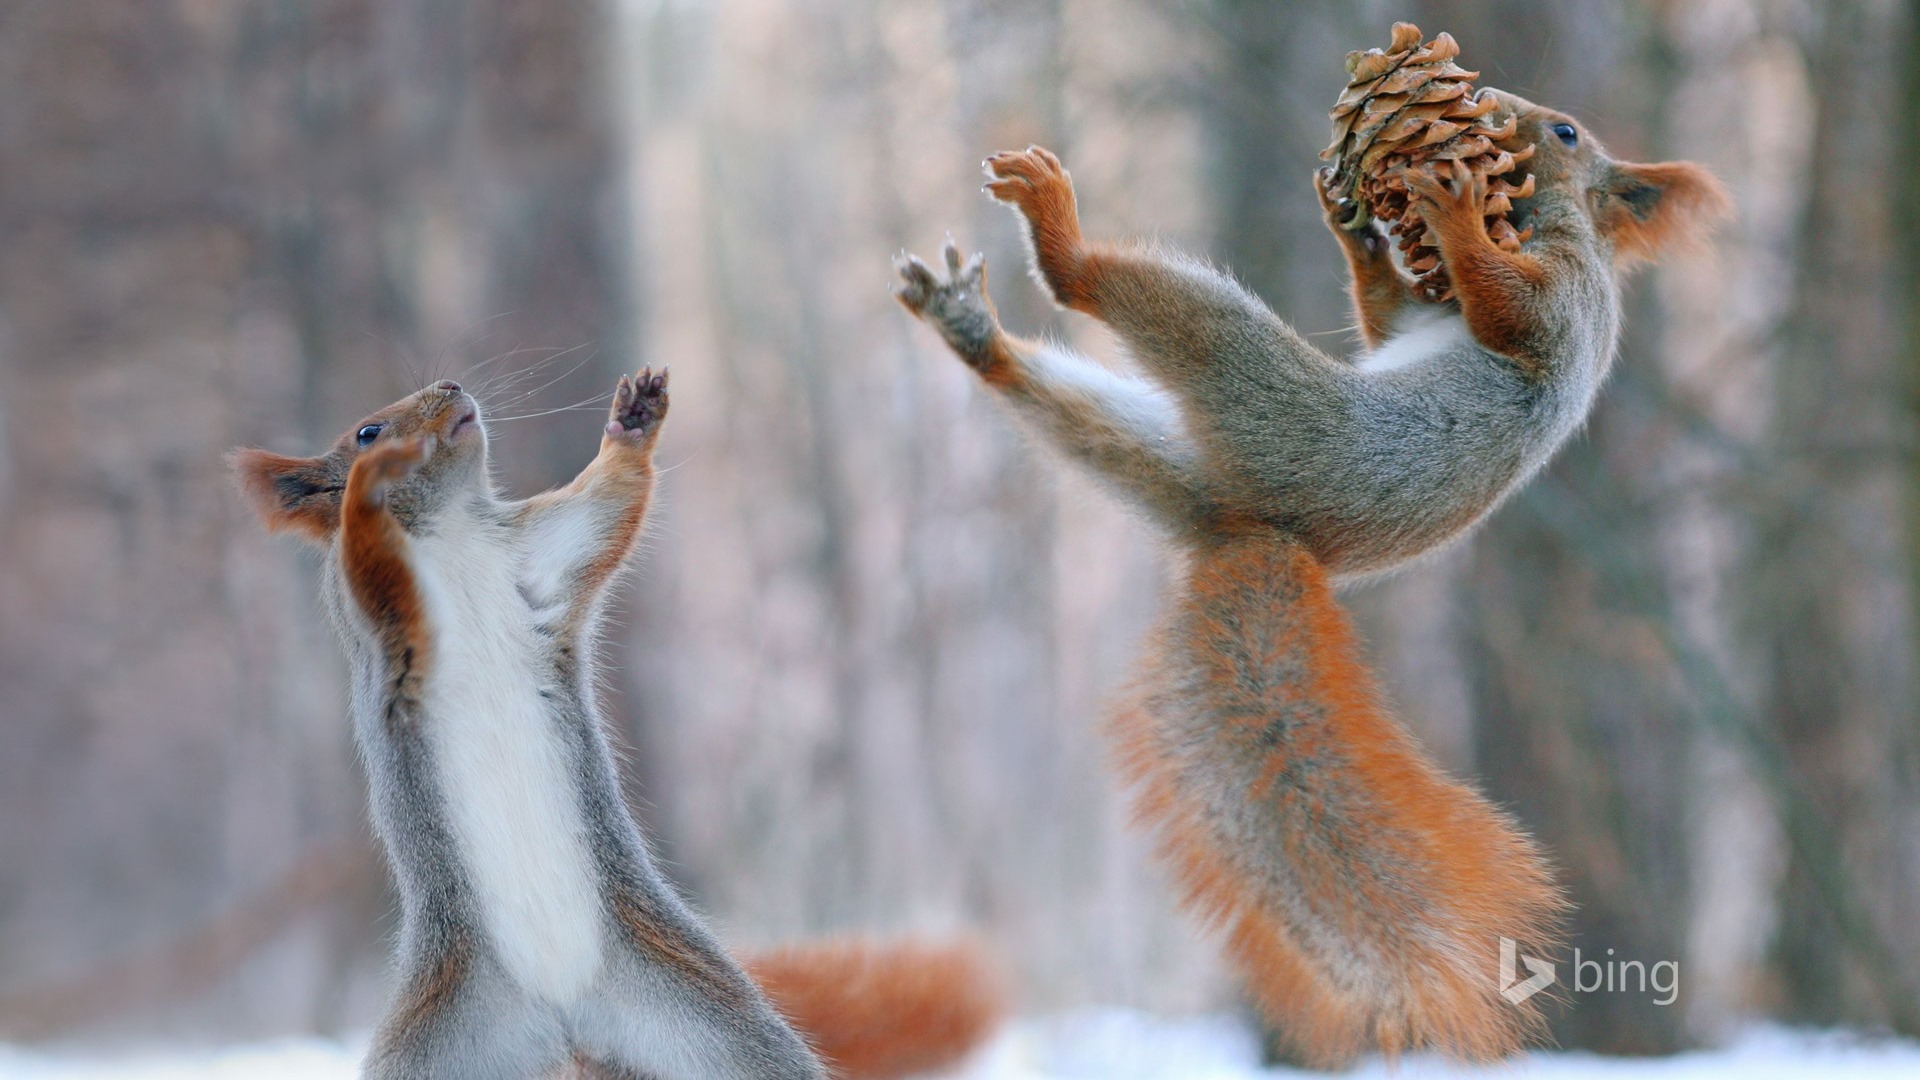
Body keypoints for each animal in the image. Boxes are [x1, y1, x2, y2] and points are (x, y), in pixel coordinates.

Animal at [228, 372, 1006, 1076]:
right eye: (365, 432)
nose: (450, 388)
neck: (447, 532)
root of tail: (564, 1024)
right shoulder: (376, 614)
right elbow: (368, 553)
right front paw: (370, 485)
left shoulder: (539, 556)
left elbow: (605, 506)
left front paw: (633, 421)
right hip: (437, 1044)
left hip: (706, 1015)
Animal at [890, 85, 1735, 1060]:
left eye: (1564, 133)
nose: (1493, 106)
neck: (1540, 222)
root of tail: (1259, 531)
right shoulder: (1420, 316)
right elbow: (1387, 318)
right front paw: (1355, 228)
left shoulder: (1564, 302)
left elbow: (1508, 311)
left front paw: (1450, 214)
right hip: (1167, 452)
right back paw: (972, 331)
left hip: (1261, 391)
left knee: (1117, 297)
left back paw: (1058, 237)